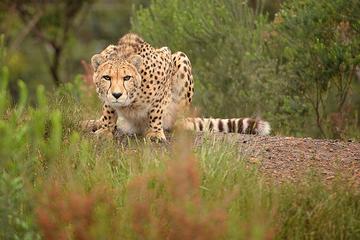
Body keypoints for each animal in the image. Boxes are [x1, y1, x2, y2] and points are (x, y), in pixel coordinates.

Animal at [83, 33, 270, 142]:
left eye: (127, 78)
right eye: (106, 78)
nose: (117, 94)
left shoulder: (166, 59)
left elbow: (157, 108)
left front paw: (155, 132)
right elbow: (108, 110)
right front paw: (105, 128)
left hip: (182, 58)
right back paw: (91, 123)